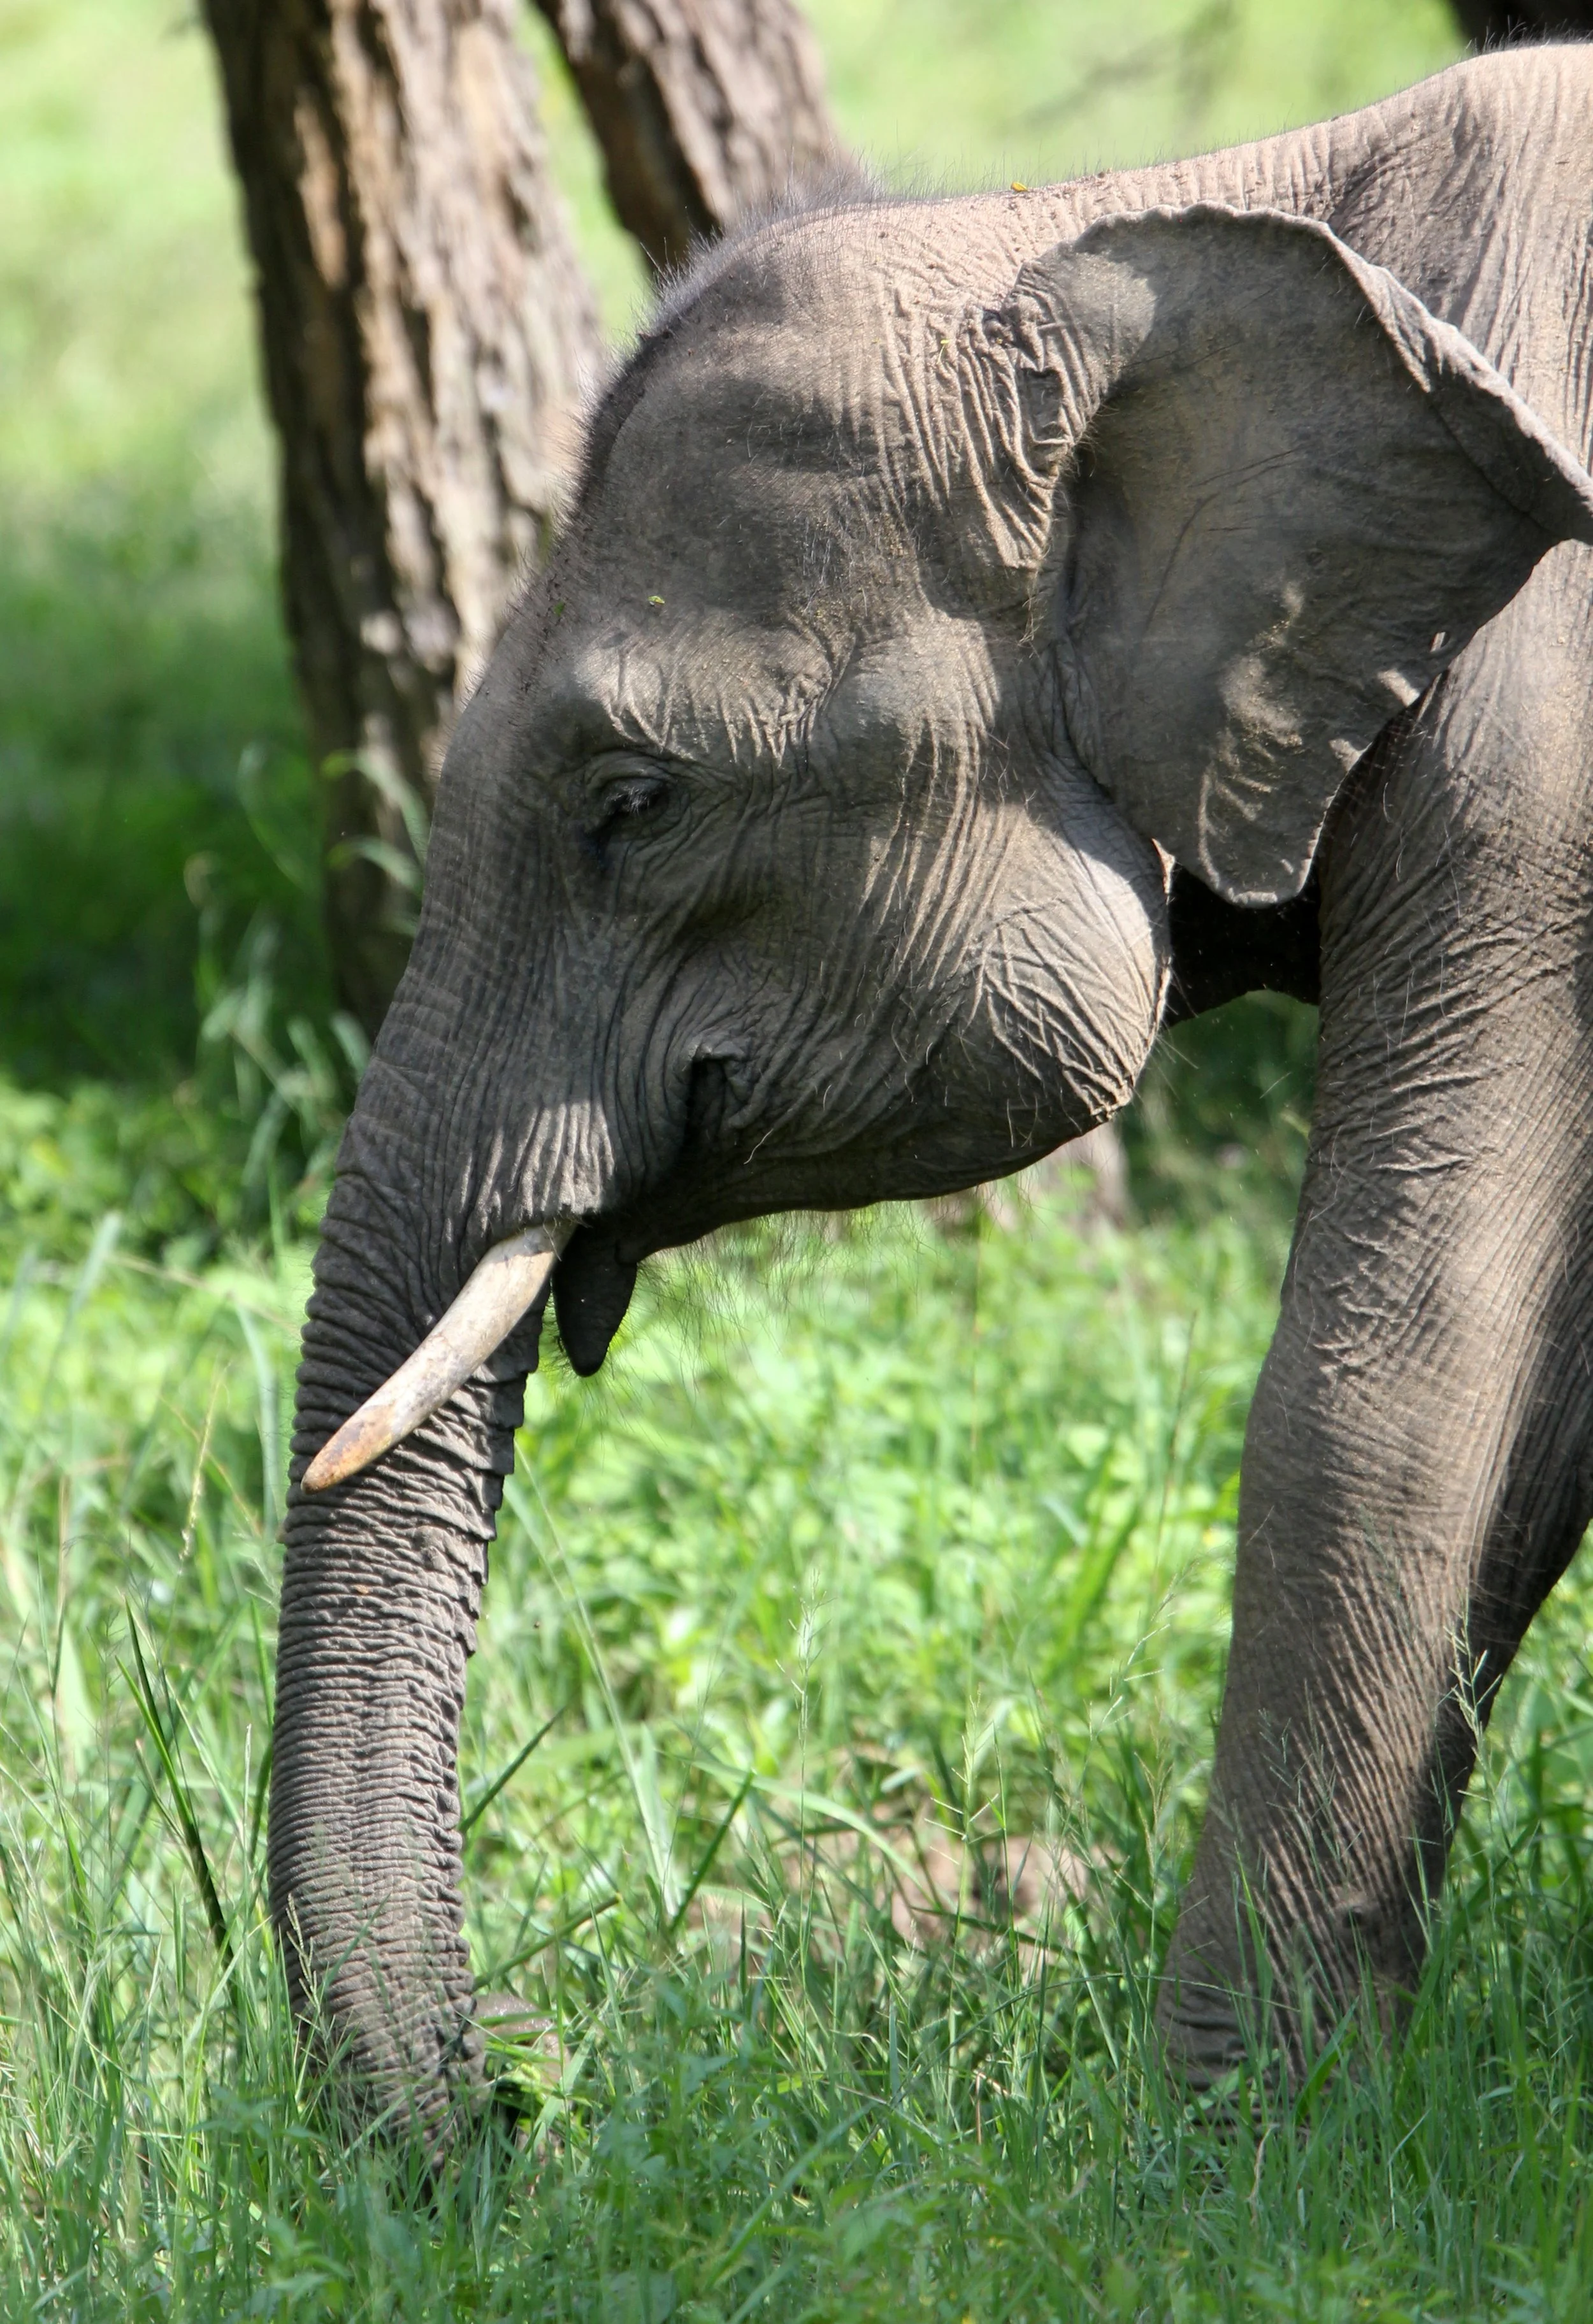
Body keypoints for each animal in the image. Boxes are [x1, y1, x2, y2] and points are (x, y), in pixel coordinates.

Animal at [270, 42, 1593, 2135]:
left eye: (629, 803)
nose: (512, 2116)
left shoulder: (1541, 756)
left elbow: (1410, 1369)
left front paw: (1218, 2156)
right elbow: (1544, 1413)